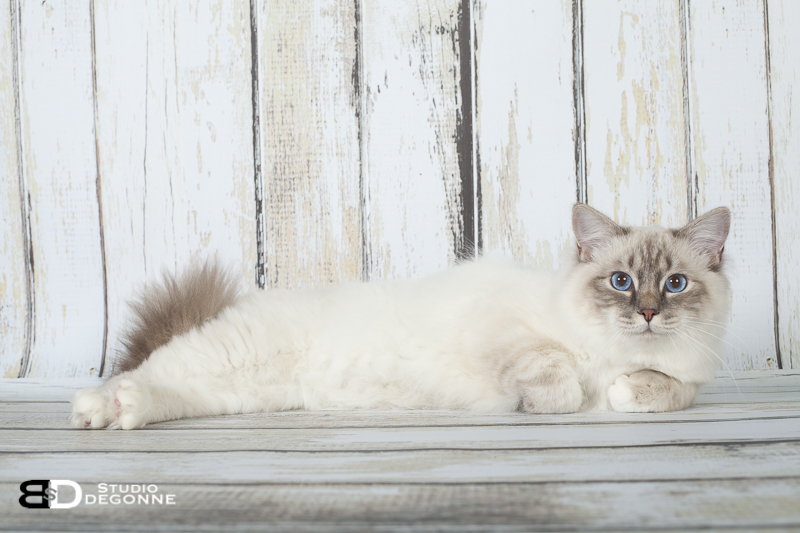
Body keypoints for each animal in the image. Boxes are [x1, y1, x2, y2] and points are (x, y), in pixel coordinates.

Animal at [70, 203, 732, 428]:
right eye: (621, 282)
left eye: (674, 285)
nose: (647, 313)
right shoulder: (509, 336)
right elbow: (557, 380)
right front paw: (552, 399)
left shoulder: (689, 381)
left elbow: (664, 390)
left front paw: (627, 390)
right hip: (228, 354)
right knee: (137, 372)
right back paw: (99, 410)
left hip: (237, 391)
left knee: (171, 391)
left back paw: (127, 413)